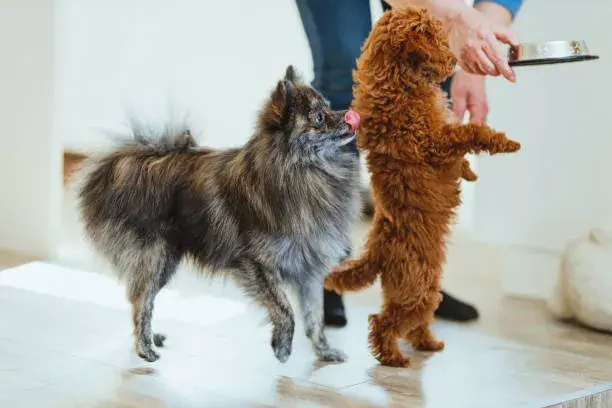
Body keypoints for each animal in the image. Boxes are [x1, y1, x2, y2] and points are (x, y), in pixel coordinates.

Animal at [322, 6, 520, 368]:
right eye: (437, 42)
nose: (455, 60)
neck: (400, 81)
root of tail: (378, 248)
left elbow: (462, 154)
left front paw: (470, 174)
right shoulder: (433, 144)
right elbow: (471, 132)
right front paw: (506, 143)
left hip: (424, 290)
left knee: (414, 322)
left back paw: (428, 343)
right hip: (417, 288)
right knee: (383, 322)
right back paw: (394, 358)